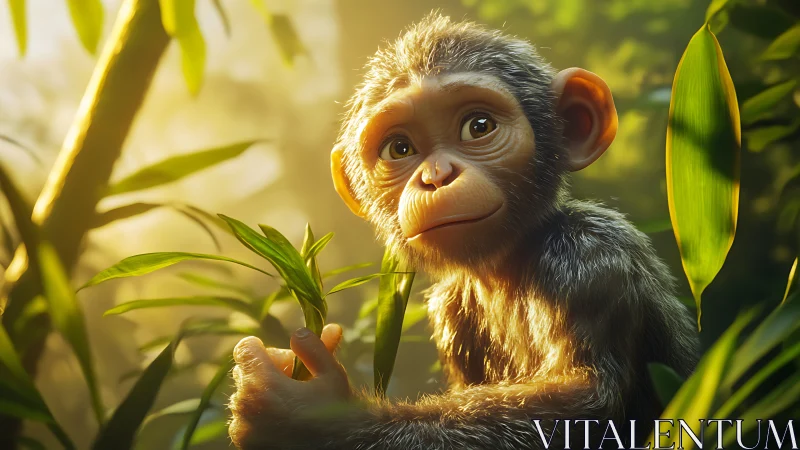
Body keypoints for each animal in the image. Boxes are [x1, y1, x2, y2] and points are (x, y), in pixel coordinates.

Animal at [227, 13, 699, 450]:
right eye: (400, 148)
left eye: (479, 126)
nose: (437, 176)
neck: (506, 270)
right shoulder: (448, 309)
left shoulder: (590, 255)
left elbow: (584, 400)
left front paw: (311, 416)